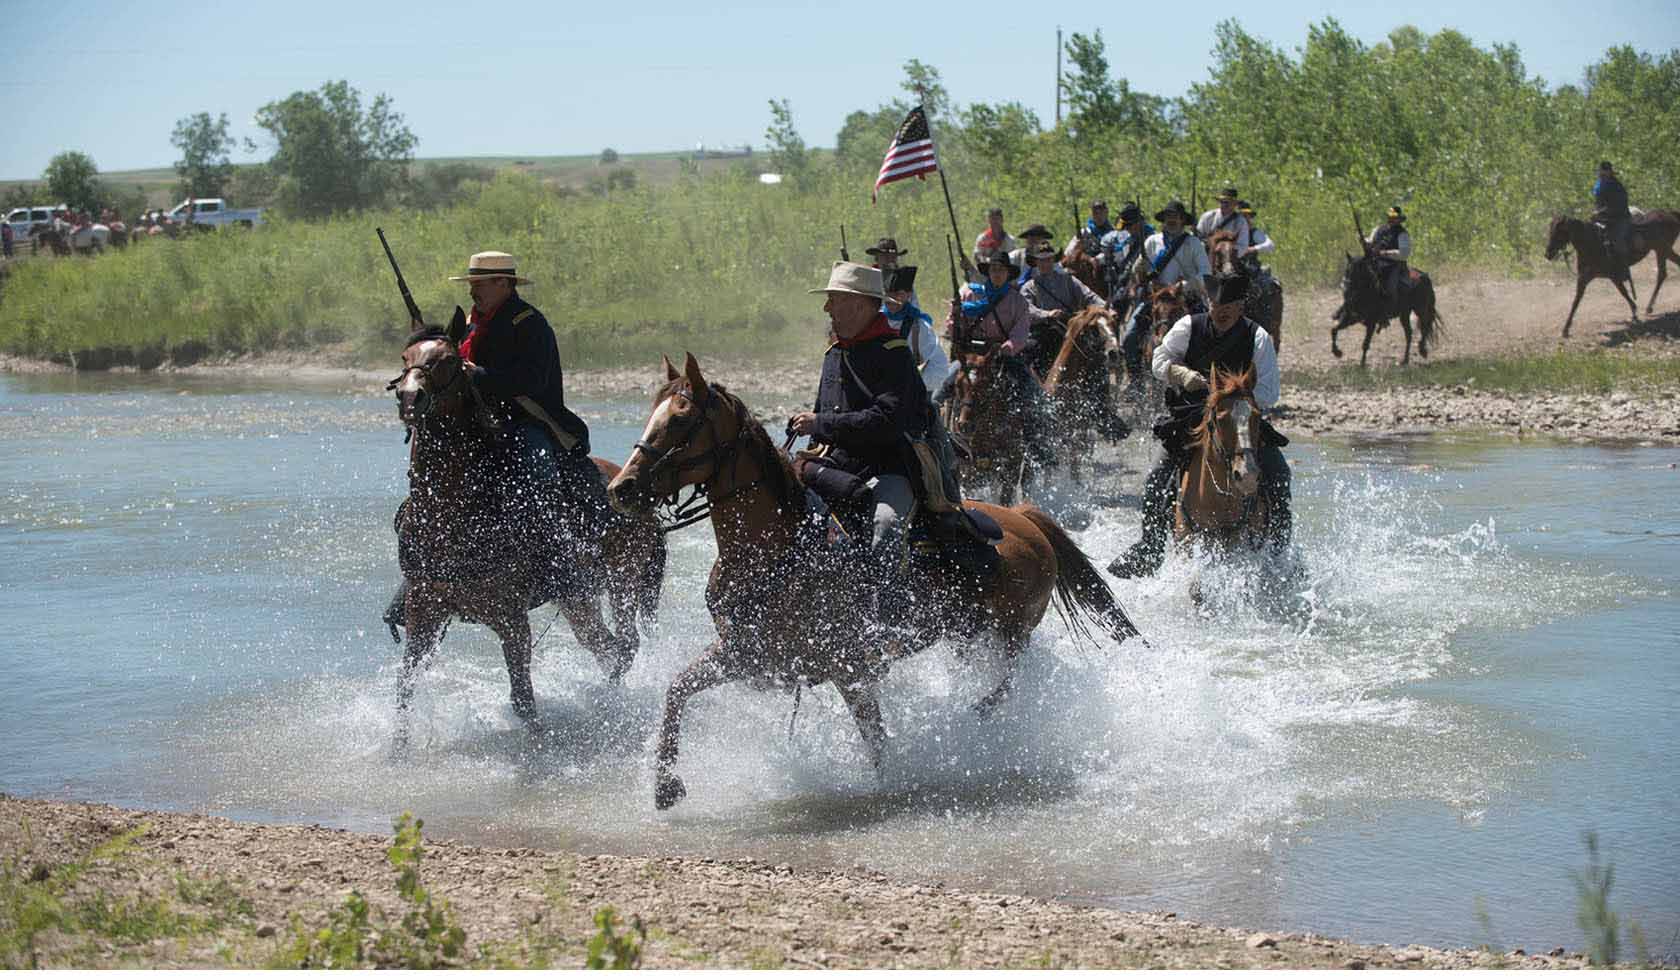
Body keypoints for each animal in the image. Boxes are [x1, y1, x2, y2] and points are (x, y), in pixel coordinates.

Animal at [389, 332, 665, 726]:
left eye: (449, 360)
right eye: (405, 357)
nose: (410, 396)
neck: (452, 514)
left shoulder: (511, 617)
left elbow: (524, 701)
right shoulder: (423, 611)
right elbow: (405, 688)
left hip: (622, 582)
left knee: (623, 646)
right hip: (579, 599)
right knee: (606, 646)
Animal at [604, 356, 1142, 810]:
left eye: (679, 420)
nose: (621, 488)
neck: (778, 549)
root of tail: (1027, 519)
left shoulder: (850, 669)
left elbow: (876, 740)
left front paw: (890, 788)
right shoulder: (748, 655)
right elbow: (677, 690)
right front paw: (665, 786)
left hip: (1011, 631)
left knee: (1007, 681)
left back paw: (976, 717)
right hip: (966, 635)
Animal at [1545, 212, 1680, 339]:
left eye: (1559, 231)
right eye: (1550, 229)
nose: (1548, 254)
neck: (1593, 243)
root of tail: (1671, 214)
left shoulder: (1614, 275)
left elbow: (1623, 292)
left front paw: (1634, 312)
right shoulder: (1584, 278)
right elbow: (1576, 301)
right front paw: (1565, 329)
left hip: (1663, 249)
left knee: (1664, 272)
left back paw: (1649, 307)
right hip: (1661, 250)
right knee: (1662, 274)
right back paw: (1649, 307)